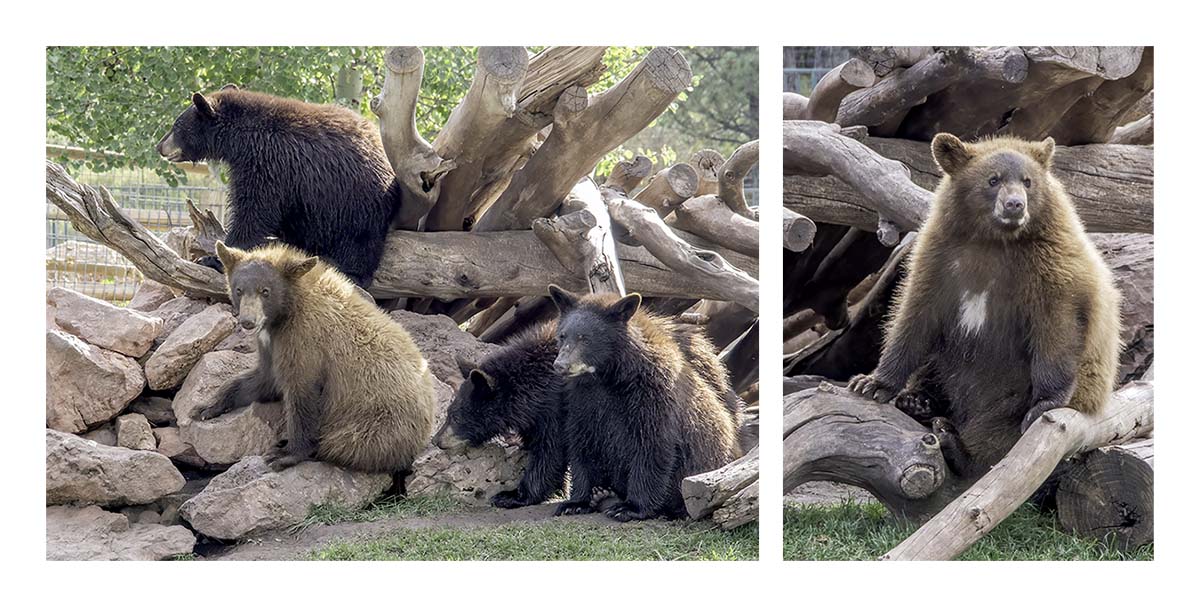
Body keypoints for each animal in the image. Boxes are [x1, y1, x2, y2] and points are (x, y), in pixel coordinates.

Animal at [156, 85, 400, 288]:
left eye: (176, 125)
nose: (160, 146)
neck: (240, 139)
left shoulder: (269, 161)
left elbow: (254, 209)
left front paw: (213, 258)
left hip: (355, 201)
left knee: (359, 242)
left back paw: (353, 273)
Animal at [193, 241, 436, 476]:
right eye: (239, 289)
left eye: (265, 291)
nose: (248, 322)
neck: (287, 310)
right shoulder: (271, 344)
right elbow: (263, 378)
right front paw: (206, 406)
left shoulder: (305, 339)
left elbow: (301, 392)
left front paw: (286, 454)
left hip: (380, 424)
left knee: (345, 443)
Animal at [435, 321, 568, 509]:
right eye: (448, 412)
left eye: (456, 417)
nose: (436, 440)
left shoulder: (557, 409)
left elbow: (550, 450)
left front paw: (511, 495)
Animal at [547, 285, 742, 522]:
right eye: (562, 335)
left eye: (585, 338)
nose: (561, 365)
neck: (608, 378)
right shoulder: (581, 401)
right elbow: (582, 444)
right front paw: (576, 502)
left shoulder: (654, 396)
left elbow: (652, 447)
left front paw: (630, 507)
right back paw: (603, 494)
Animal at [848, 133, 1122, 478]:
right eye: (993, 179)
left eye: (1028, 181)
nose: (1015, 204)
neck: (993, 242)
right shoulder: (941, 262)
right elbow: (915, 319)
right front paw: (871, 383)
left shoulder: (1049, 268)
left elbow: (1058, 327)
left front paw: (1046, 402)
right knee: (935, 367)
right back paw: (919, 402)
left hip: (1013, 396)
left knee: (998, 434)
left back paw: (955, 443)